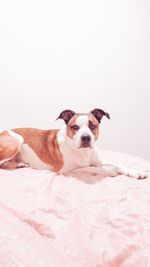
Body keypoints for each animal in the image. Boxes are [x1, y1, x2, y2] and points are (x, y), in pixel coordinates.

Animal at [0, 109, 148, 180]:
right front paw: (109, 171)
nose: (86, 138)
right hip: (16, 142)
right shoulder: (67, 170)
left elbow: (118, 164)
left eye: (92, 125)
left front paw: (136, 172)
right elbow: (90, 168)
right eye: (75, 127)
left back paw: (20, 164)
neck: (84, 152)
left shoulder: (99, 160)